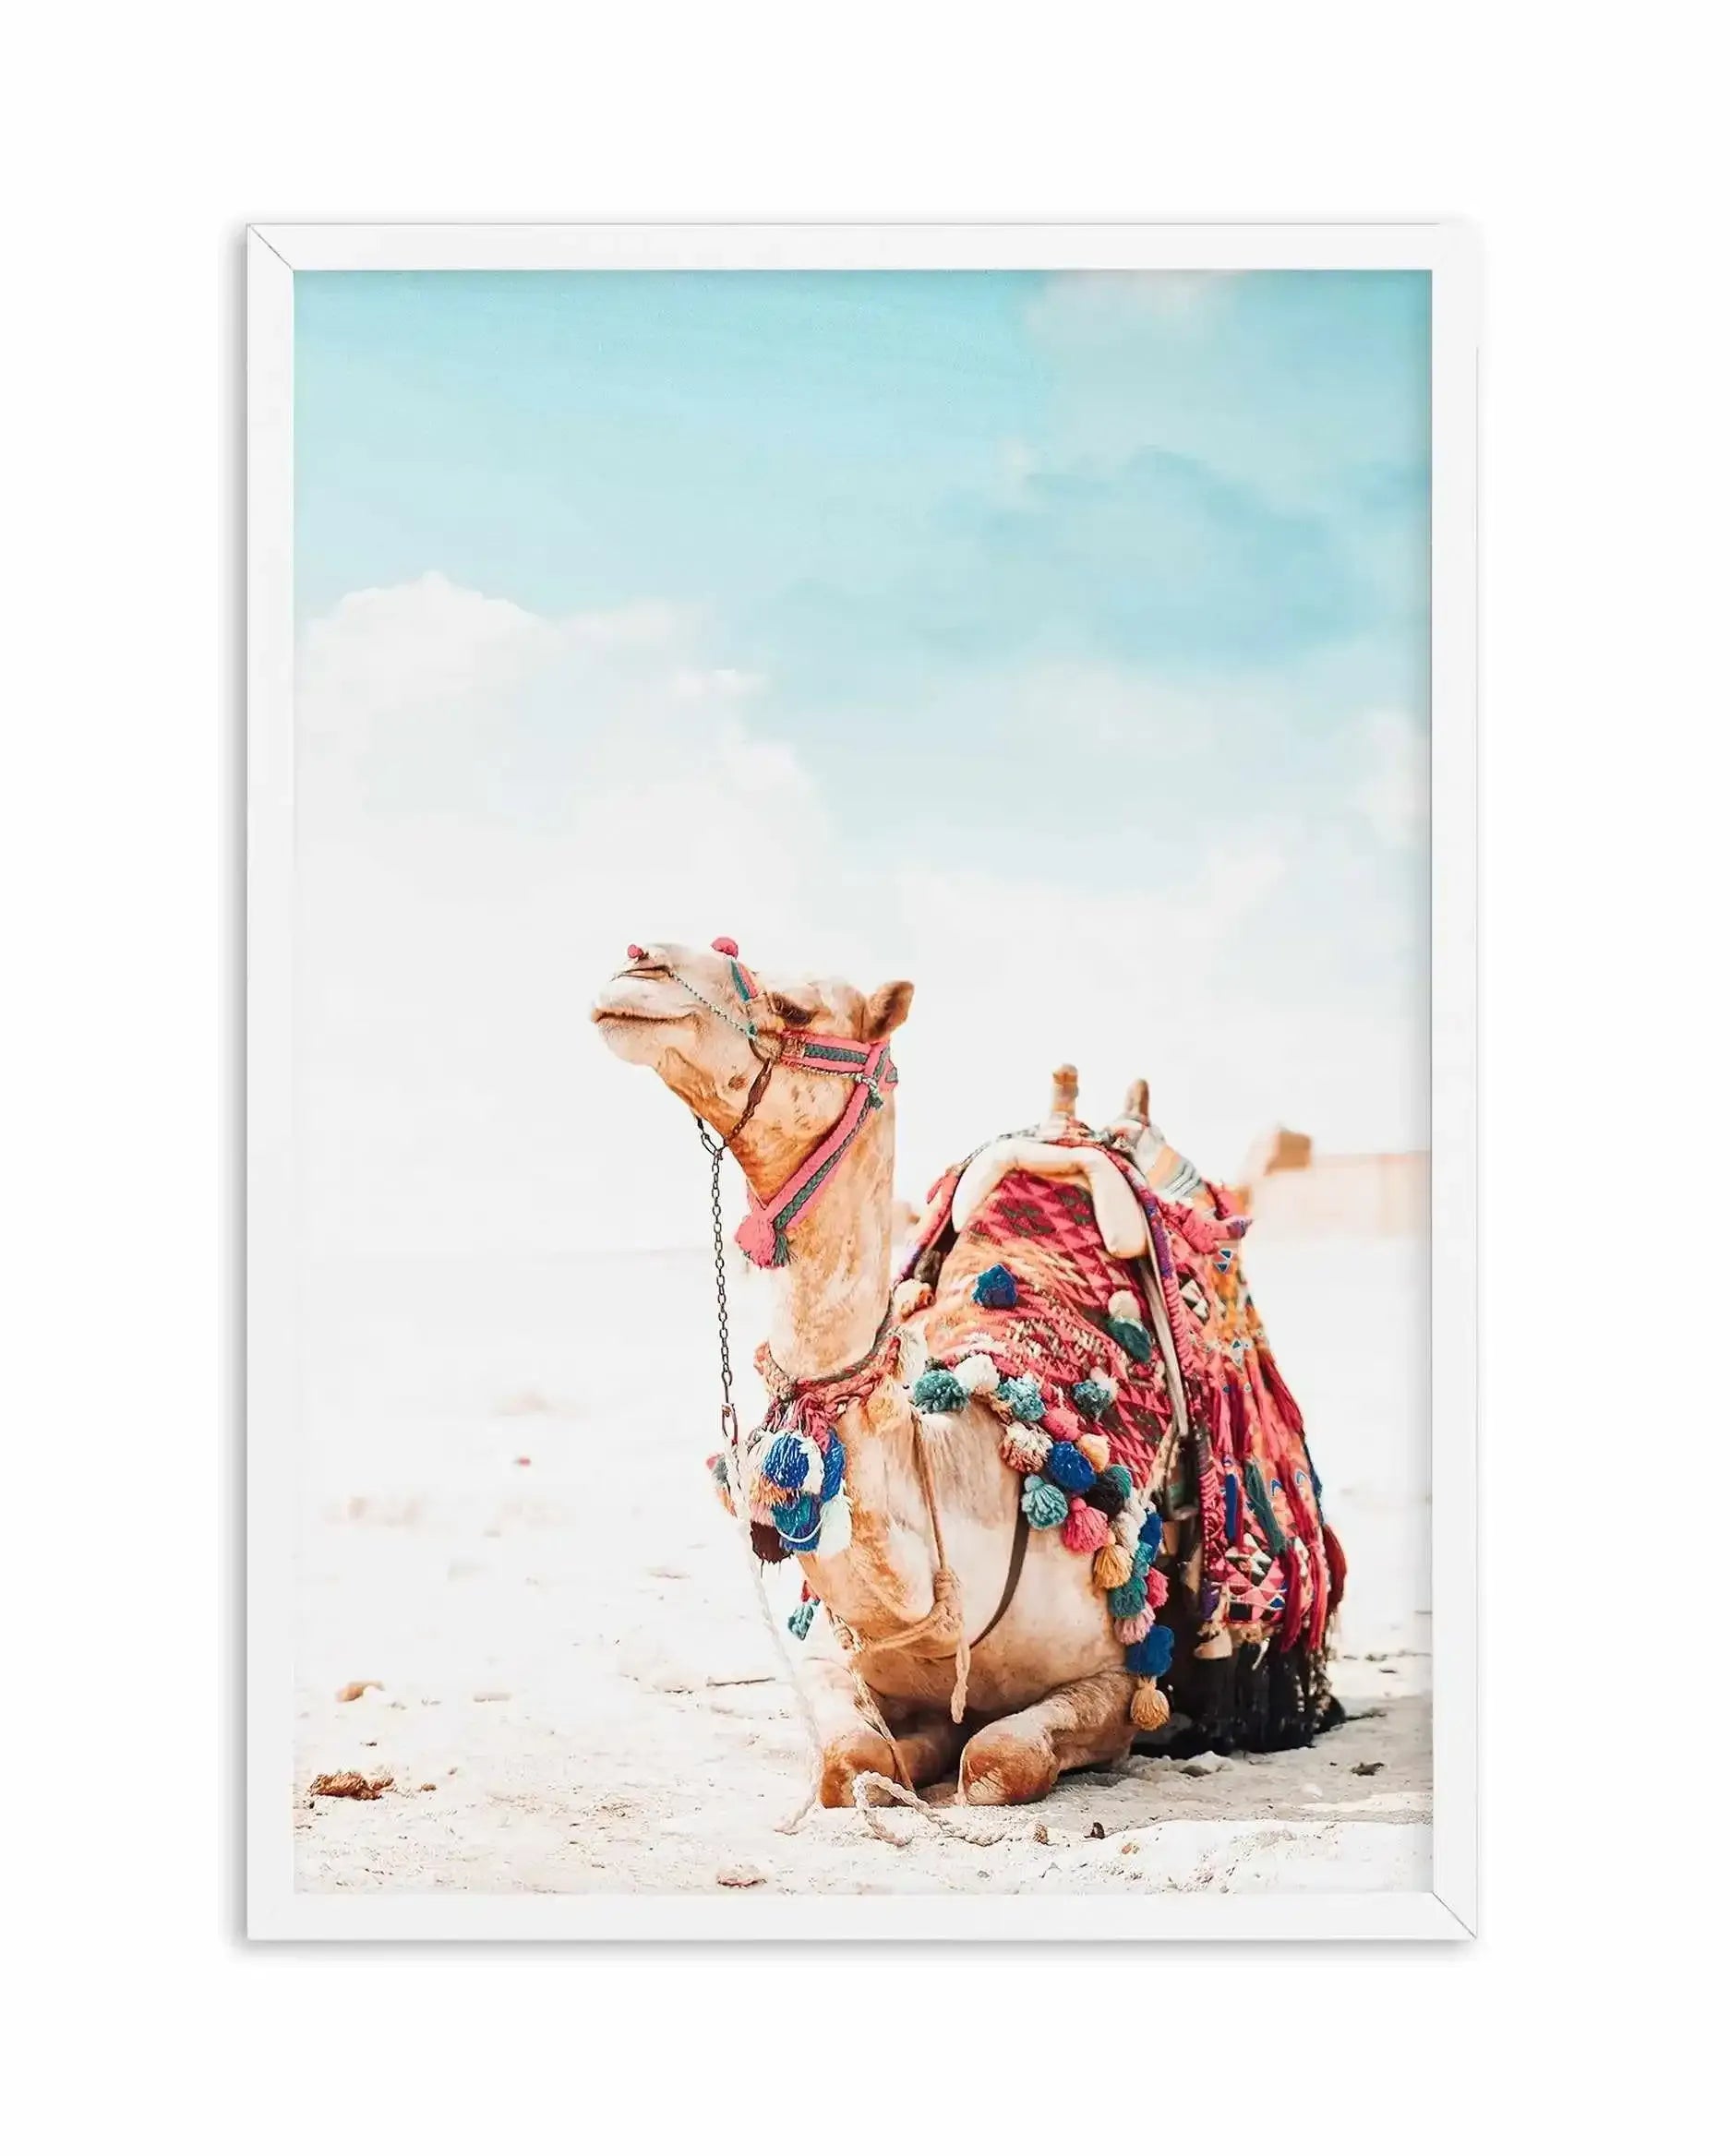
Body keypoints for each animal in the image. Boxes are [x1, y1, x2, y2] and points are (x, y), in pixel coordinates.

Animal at [593, 937, 1339, 1807]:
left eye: (796, 1006)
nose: (638, 965)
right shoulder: (841, 1658)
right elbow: (851, 1759)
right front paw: (905, 1754)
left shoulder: (1120, 1683)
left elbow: (996, 1758)